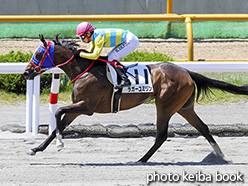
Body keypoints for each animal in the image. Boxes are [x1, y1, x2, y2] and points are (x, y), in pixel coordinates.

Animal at [23, 35, 248, 163]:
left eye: (39, 54)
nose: (26, 73)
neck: (83, 71)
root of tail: (186, 71)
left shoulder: (86, 107)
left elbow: (59, 113)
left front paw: (60, 145)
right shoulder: (78, 108)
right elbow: (56, 127)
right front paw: (35, 149)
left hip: (165, 105)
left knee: (161, 135)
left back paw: (140, 160)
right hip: (184, 107)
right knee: (203, 128)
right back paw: (220, 155)